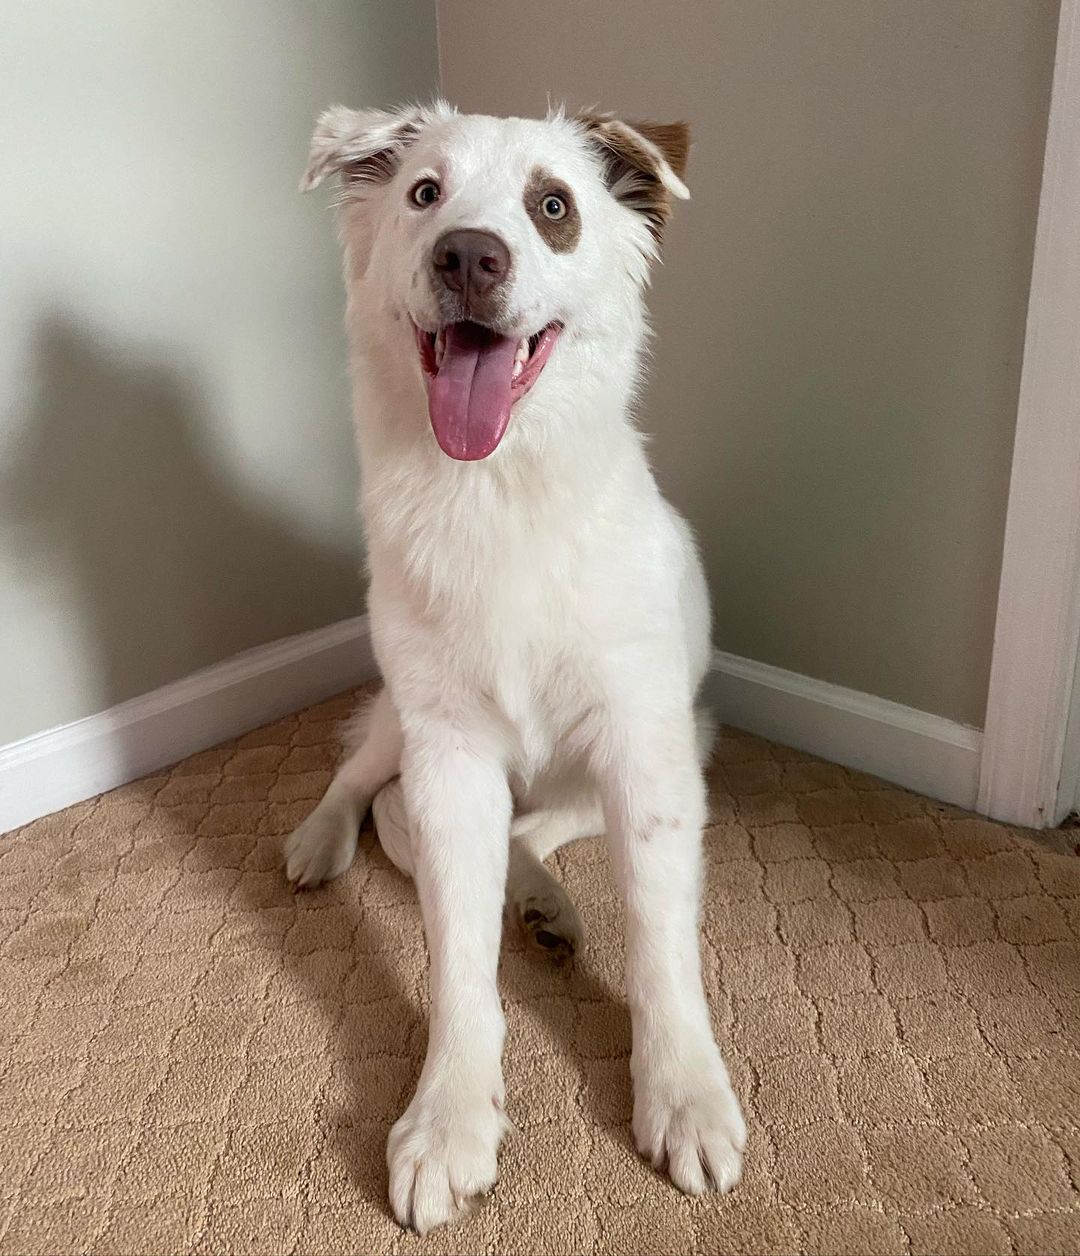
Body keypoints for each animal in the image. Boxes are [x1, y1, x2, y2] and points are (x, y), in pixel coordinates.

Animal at [282, 100, 748, 1235]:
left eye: (554, 206)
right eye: (423, 193)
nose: (467, 256)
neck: (497, 494)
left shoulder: (646, 749)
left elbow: (662, 942)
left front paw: (684, 1093)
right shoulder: (447, 751)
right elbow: (455, 957)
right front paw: (450, 1115)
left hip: (682, 741)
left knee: (533, 828)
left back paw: (544, 902)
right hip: (402, 725)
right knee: (366, 790)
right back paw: (322, 842)